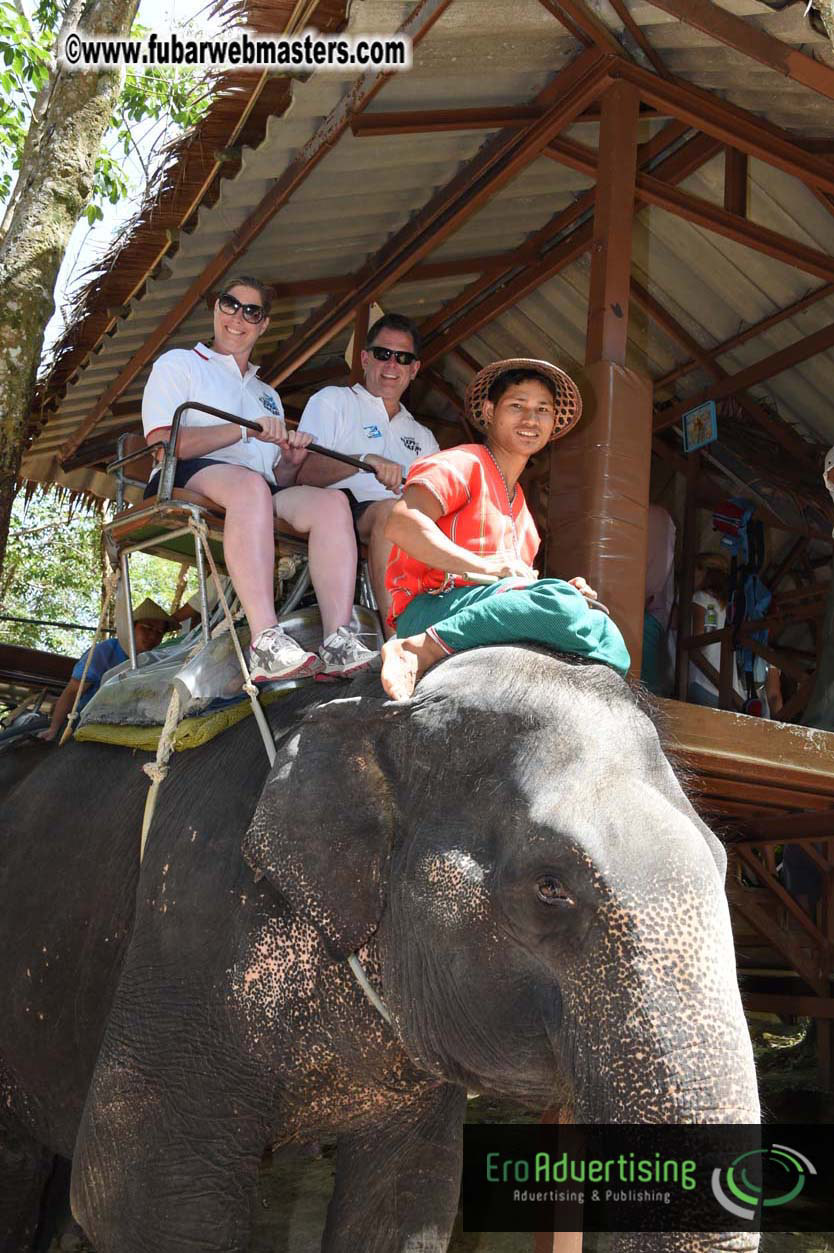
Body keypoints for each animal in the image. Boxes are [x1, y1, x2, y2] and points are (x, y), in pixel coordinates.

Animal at [0, 645, 760, 1253]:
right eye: (551, 887)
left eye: (724, 864)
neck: (380, 709)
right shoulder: (193, 924)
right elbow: (141, 1199)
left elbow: (407, 1201)